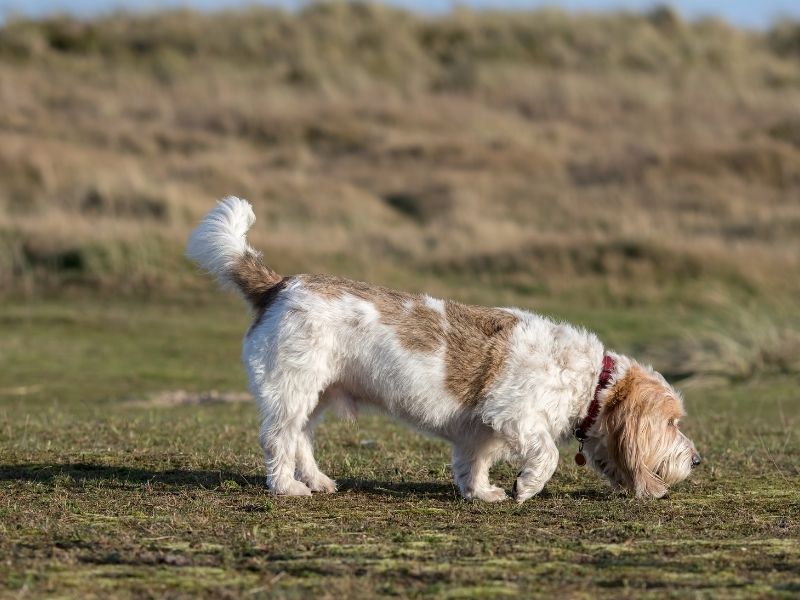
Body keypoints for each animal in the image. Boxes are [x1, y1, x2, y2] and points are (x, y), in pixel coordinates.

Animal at [188, 197, 700, 502]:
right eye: (672, 423)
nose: (697, 460)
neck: (592, 382)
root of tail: (279, 285)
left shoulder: (481, 431)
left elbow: (473, 463)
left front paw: (482, 493)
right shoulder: (516, 414)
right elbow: (546, 455)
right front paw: (526, 486)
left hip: (315, 396)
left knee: (301, 440)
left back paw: (315, 480)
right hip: (291, 391)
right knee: (279, 439)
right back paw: (287, 487)